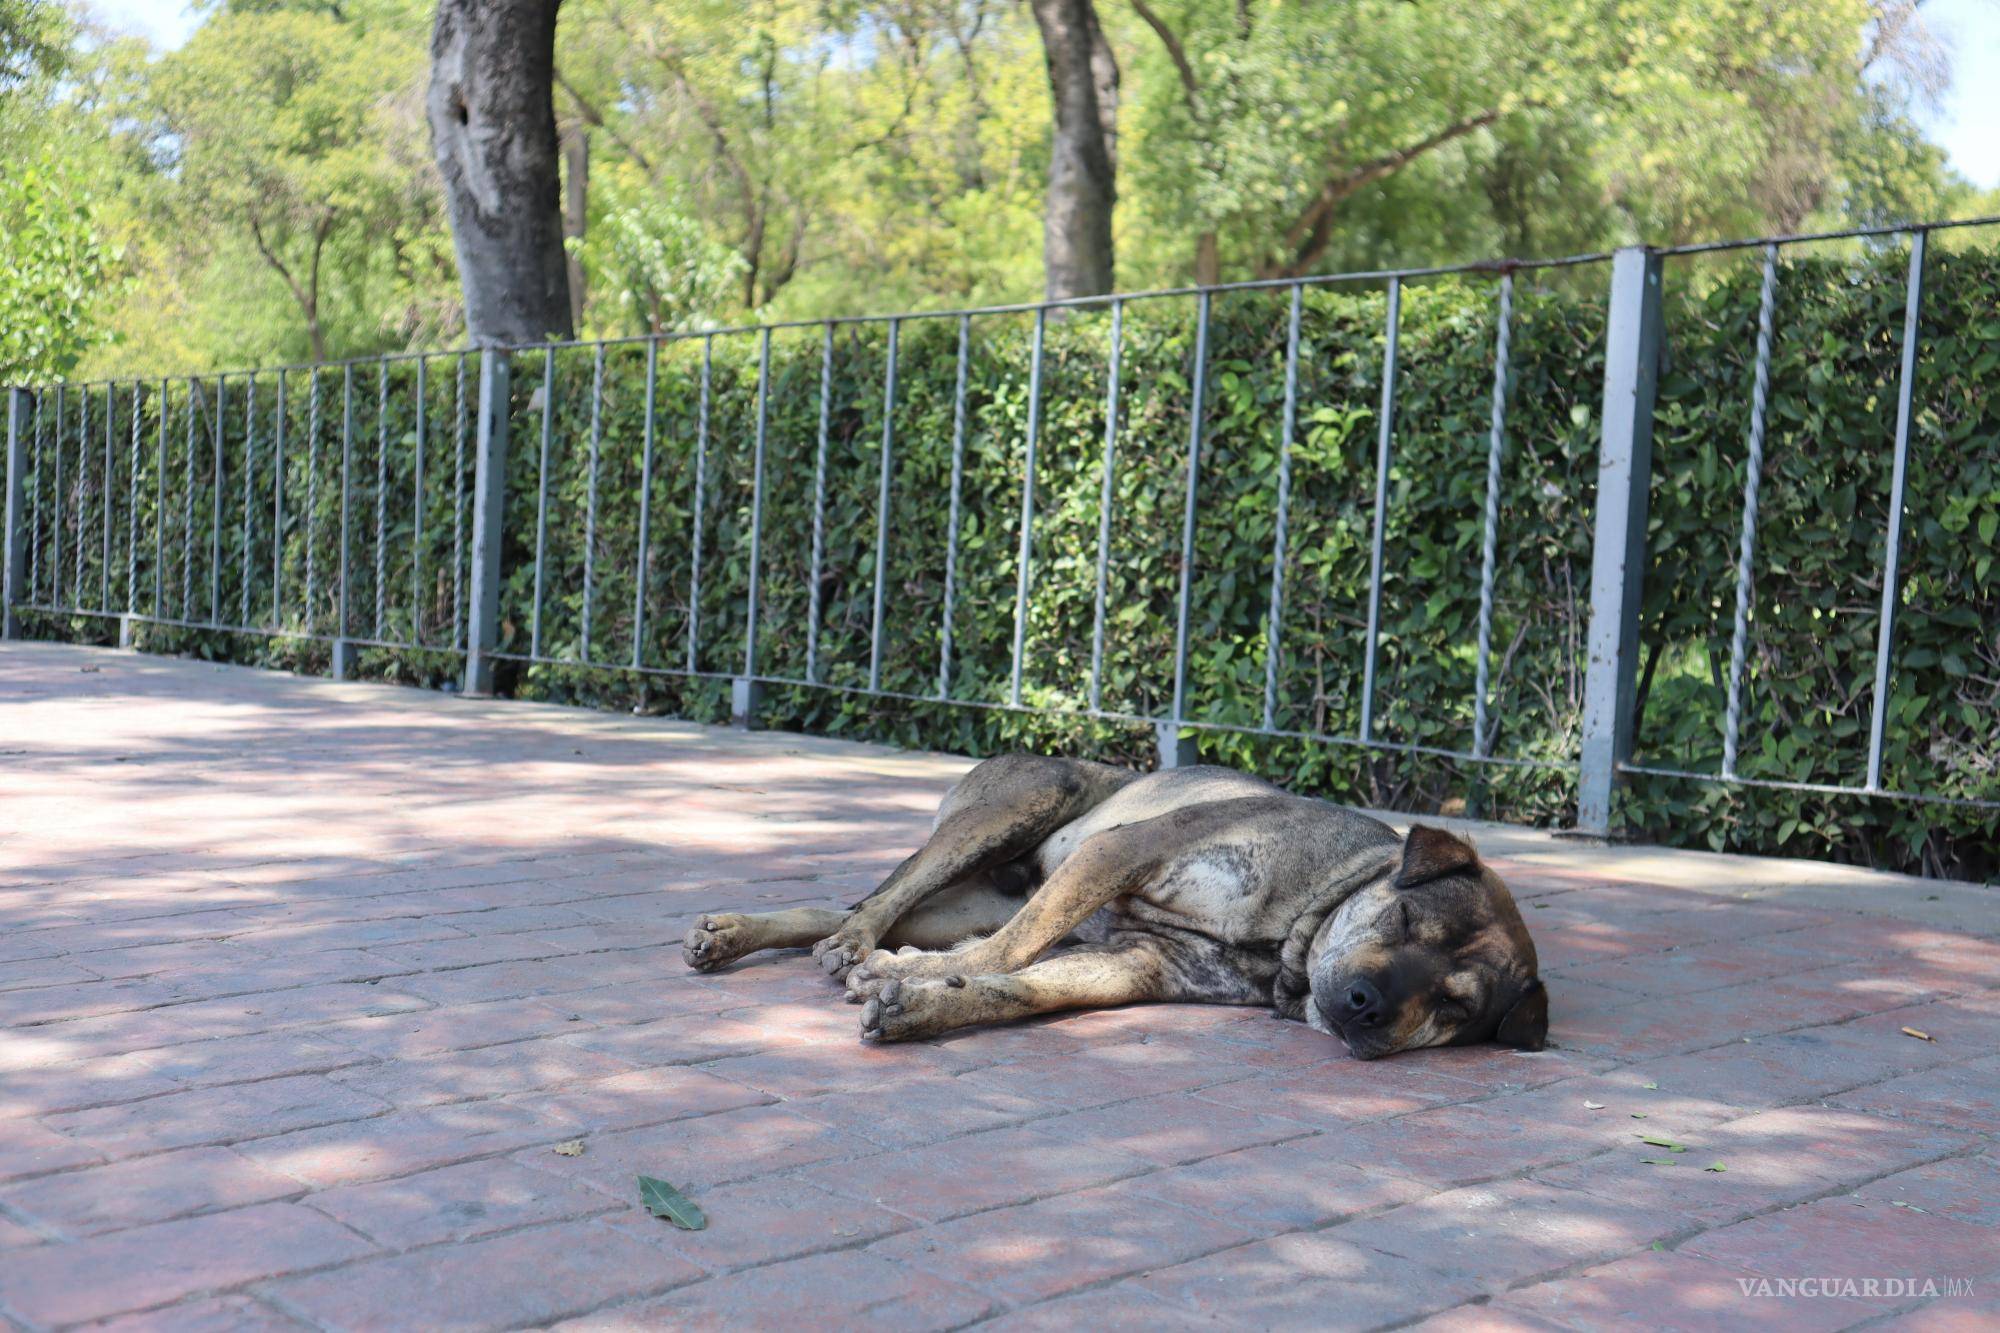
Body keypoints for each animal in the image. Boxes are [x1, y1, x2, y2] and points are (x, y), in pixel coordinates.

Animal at [676, 752, 1544, 1056]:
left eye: (1455, 1006)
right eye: (1403, 919)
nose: (1368, 1005)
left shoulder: (1134, 967)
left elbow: (1018, 986)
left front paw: (922, 999)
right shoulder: (1118, 853)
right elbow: (1014, 949)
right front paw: (914, 977)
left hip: (970, 898)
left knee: (860, 908)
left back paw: (739, 933)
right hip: (1022, 802)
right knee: (880, 900)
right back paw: (855, 945)